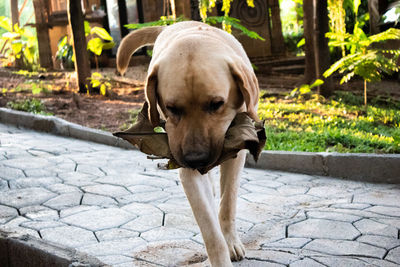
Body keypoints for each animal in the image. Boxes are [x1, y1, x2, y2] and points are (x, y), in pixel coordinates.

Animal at [115, 21, 260, 267]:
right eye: (172, 108)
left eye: (216, 104)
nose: (196, 159)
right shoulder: (185, 167)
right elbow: (210, 230)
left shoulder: (236, 154)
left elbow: (228, 204)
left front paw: (230, 240)